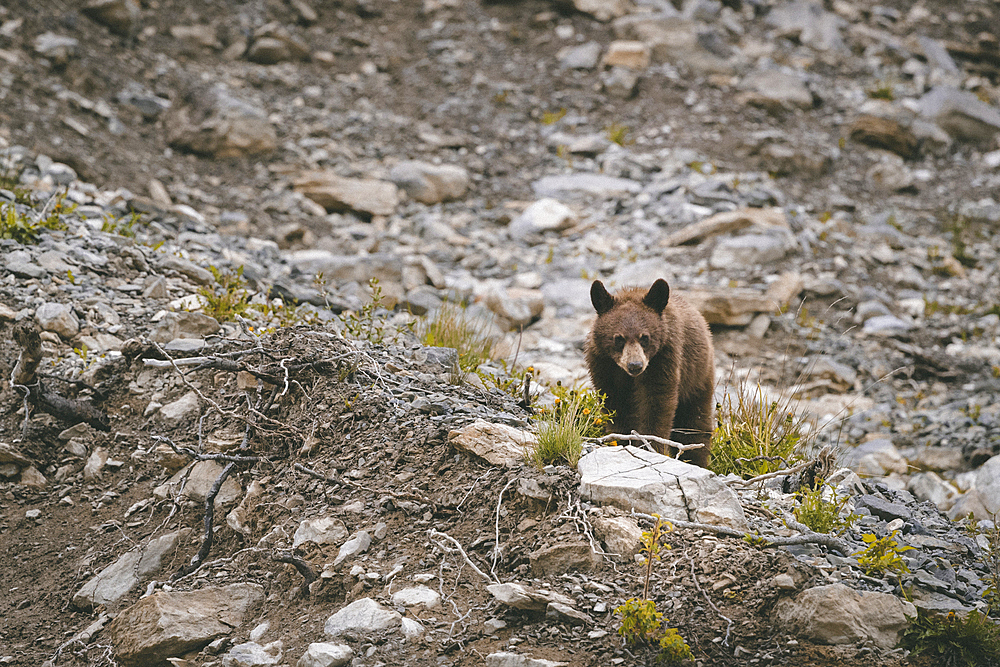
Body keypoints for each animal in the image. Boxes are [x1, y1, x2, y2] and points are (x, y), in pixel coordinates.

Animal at [584, 280, 716, 468]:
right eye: (618, 338)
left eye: (645, 337)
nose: (635, 365)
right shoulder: (603, 365)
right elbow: (615, 405)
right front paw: (621, 440)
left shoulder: (663, 360)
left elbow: (656, 403)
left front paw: (649, 446)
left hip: (697, 377)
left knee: (694, 425)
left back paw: (695, 460)